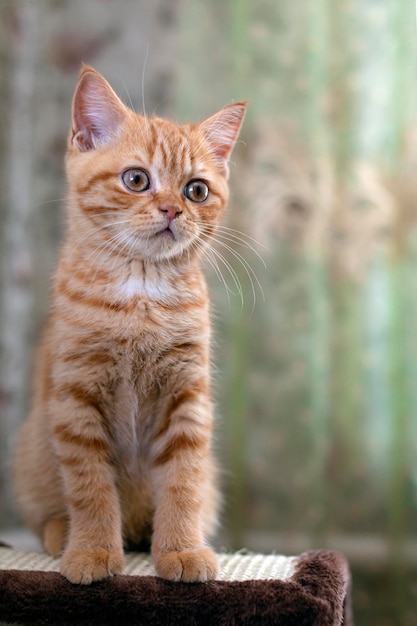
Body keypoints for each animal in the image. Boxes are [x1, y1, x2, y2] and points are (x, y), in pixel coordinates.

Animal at [12, 66, 247, 584]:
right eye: (137, 179)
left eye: (196, 190)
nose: (172, 209)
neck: (142, 296)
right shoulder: (75, 401)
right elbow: (90, 487)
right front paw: (93, 551)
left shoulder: (187, 399)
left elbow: (184, 481)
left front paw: (181, 549)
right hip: (33, 456)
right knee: (46, 513)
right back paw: (63, 535)